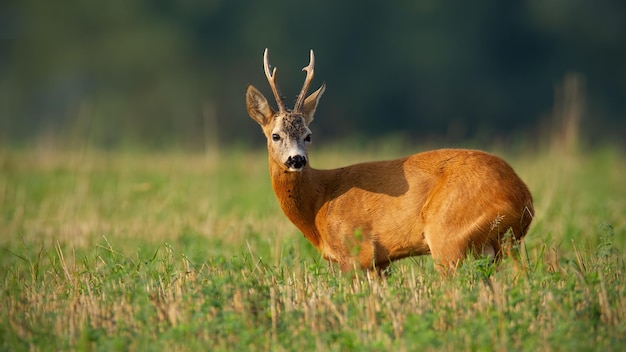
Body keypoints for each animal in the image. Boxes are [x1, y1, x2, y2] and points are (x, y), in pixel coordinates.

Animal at [244, 48, 532, 276]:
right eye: (275, 135)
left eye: (309, 135)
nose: (297, 159)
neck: (319, 204)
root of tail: (523, 197)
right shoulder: (380, 263)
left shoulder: (356, 252)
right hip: (501, 246)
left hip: (448, 237)